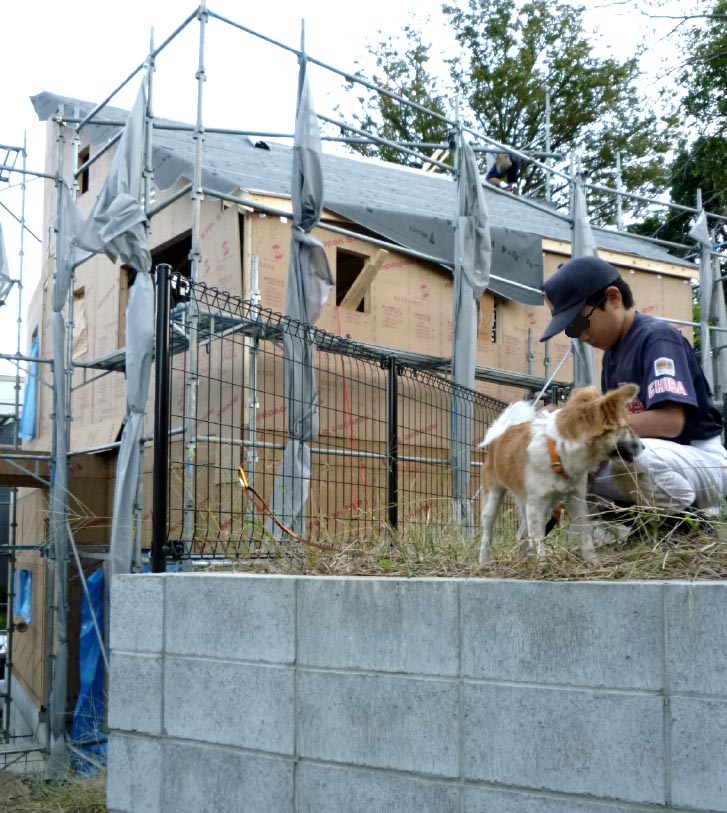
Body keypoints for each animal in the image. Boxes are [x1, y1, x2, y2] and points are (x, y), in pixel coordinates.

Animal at [478, 384, 643, 565]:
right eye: (627, 426)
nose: (643, 447)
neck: (557, 454)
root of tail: (500, 435)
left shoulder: (576, 500)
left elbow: (585, 536)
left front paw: (592, 562)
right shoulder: (536, 505)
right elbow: (538, 539)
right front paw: (542, 564)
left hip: (523, 501)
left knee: (522, 535)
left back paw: (523, 560)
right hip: (492, 500)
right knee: (487, 536)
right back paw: (484, 562)